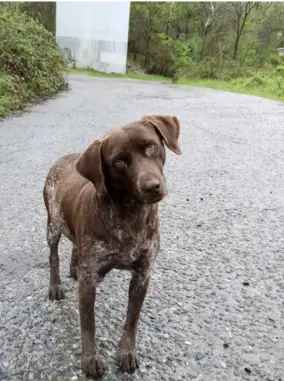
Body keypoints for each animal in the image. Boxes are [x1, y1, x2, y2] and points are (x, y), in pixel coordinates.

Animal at [43, 114, 182, 376]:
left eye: (151, 147)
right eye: (119, 161)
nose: (152, 186)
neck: (129, 215)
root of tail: (63, 158)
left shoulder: (142, 275)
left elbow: (132, 320)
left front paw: (127, 352)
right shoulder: (89, 282)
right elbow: (88, 324)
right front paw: (90, 359)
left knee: (75, 246)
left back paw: (74, 267)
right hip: (52, 226)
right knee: (53, 256)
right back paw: (55, 285)